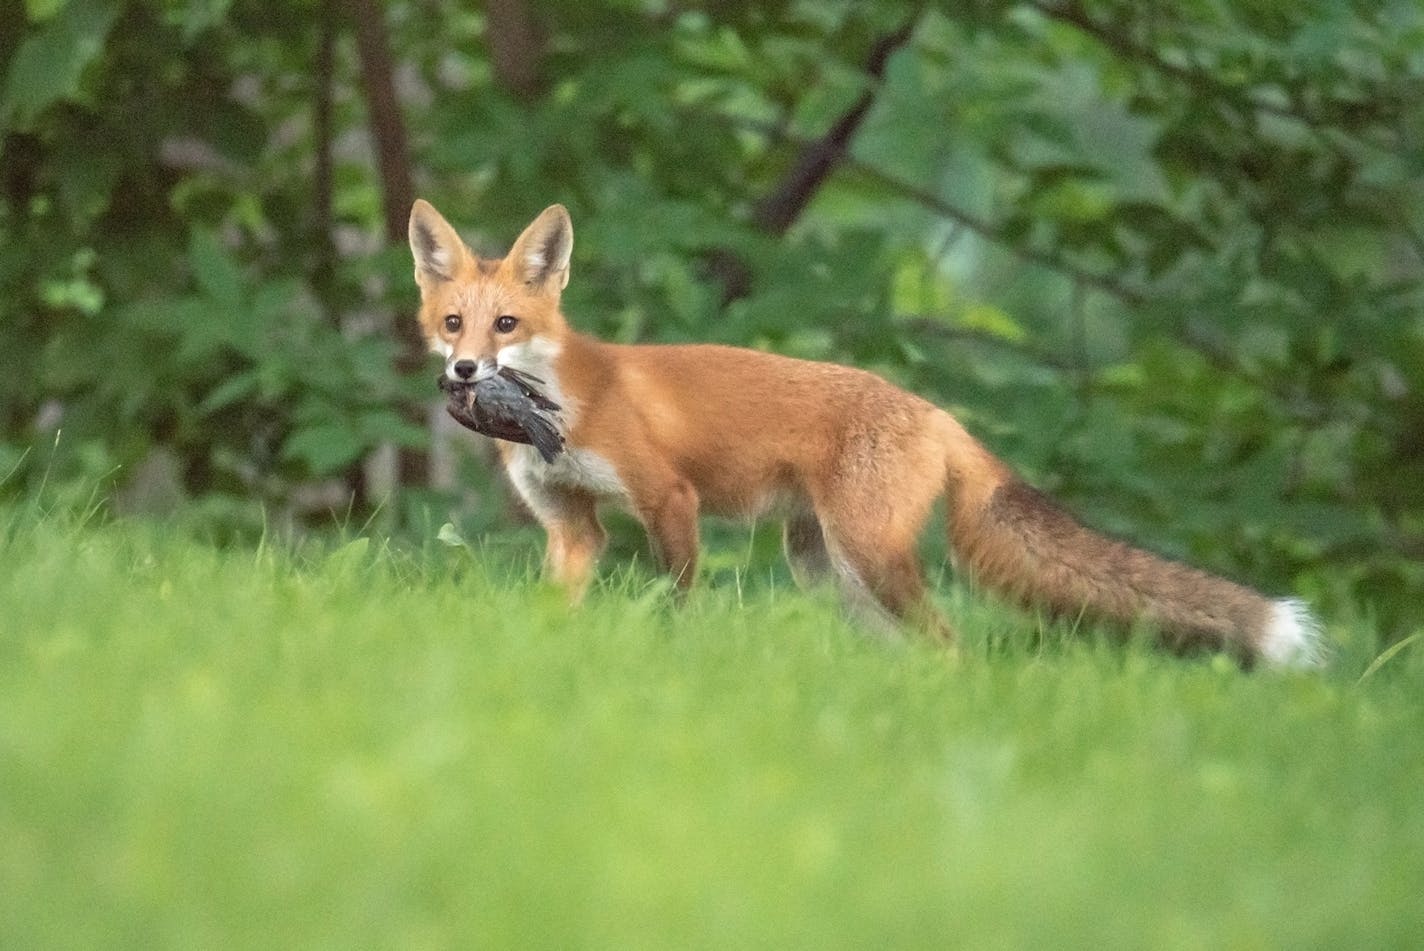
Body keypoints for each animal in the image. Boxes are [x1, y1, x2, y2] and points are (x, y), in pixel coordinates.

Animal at [410, 196, 1321, 666]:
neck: (564, 400)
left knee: (951, 644)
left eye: (507, 324)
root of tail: (938, 413)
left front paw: (672, 651)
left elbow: (678, 598)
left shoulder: (669, 497)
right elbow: (556, 605)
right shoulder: (574, 528)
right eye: (454, 323)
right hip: (832, 570)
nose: (466, 372)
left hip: (871, 555)